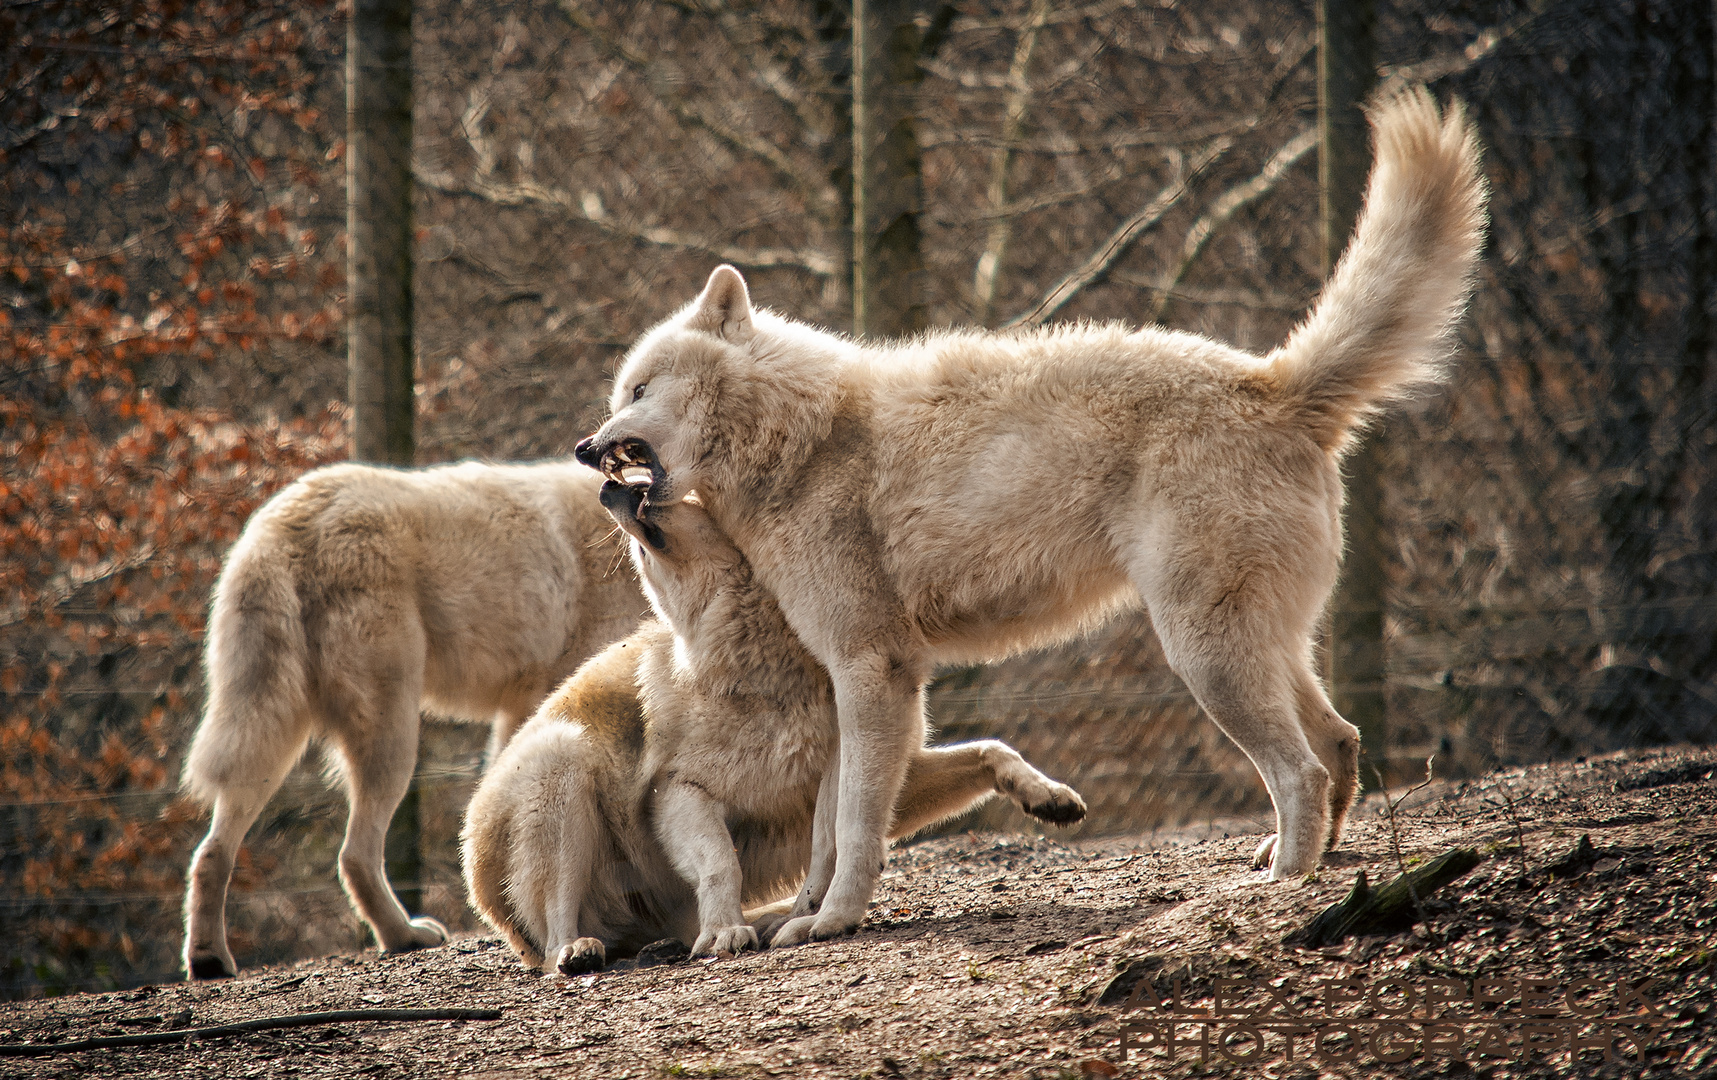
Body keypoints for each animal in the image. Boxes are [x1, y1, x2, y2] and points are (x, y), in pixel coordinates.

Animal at [181, 460, 645, 982]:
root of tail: (288, 520)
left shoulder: (521, 708)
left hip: (269, 738)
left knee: (211, 852)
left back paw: (209, 959)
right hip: (393, 735)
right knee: (354, 856)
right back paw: (404, 936)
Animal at [449, 480, 1078, 968]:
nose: (609, 487)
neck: (761, 672)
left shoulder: (855, 767)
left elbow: (990, 751)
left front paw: (1047, 796)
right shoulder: (678, 793)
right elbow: (719, 862)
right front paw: (726, 932)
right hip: (560, 763)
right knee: (557, 924)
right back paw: (578, 951)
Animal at [576, 86, 1490, 940]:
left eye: (638, 390)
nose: (587, 449)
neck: (799, 438)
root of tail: (1272, 383)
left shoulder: (874, 670)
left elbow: (857, 824)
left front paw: (835, 918)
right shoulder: (847, 681)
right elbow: (826, 833)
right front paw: (804, 918)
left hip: (1203, 655)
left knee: (1301, 769)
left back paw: (1284, 886)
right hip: (1259, 645)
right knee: (1339, 741)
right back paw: (1310, 861)